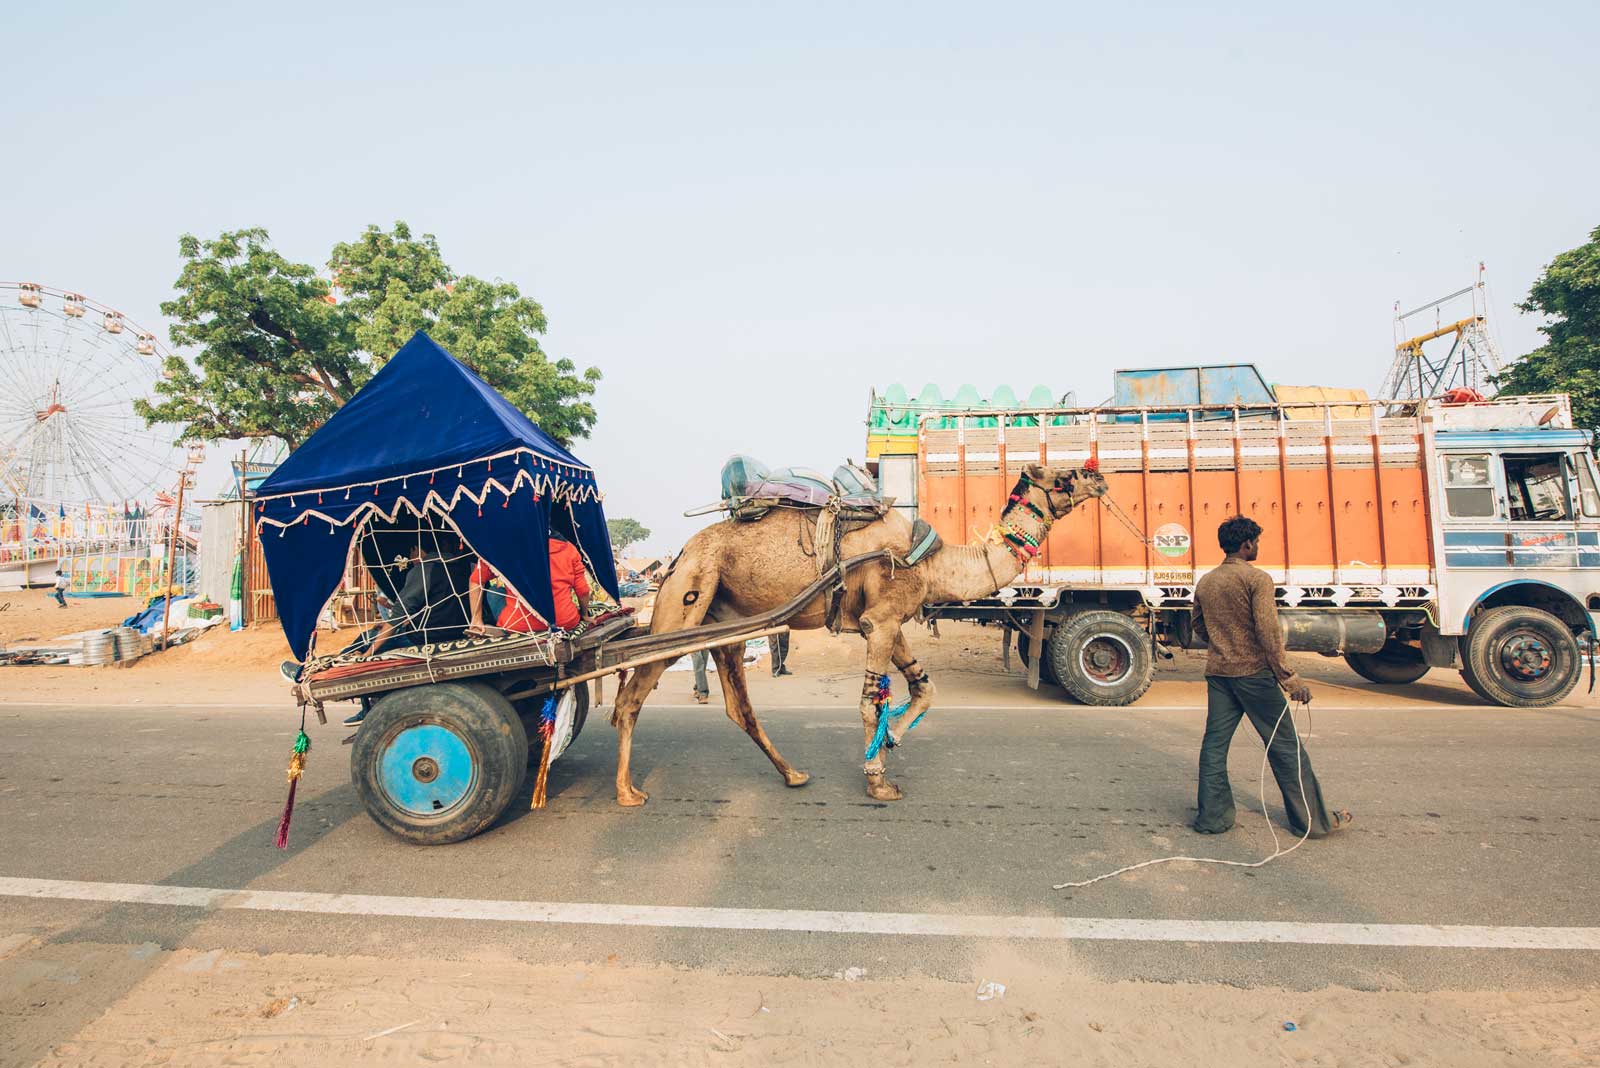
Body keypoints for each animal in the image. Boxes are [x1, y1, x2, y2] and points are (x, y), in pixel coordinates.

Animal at [604, 463, 1107, 805]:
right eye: (1063, 477)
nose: (1099, 478)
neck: (930, 560)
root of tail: (678, 554)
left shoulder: (889, 620)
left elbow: (923, 688)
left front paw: (891, 742)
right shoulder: (880, 621)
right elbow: (870, 702)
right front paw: (877, 777)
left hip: (724, 622)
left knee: (738, 708)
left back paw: (793, 775)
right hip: (686, 601)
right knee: (631, 693)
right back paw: (627, 791)